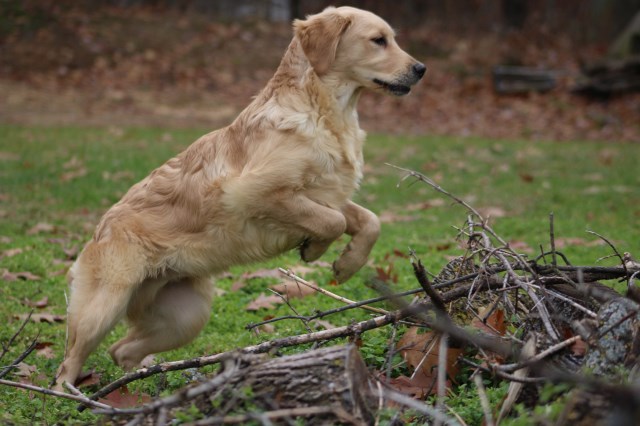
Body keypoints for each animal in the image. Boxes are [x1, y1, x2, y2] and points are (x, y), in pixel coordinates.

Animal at [55, 5, 424, 390]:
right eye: (378, 40)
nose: (421, 69)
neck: (326, 110)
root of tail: (101, 226)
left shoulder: (327, 194)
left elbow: (369, 221)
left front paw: (347, 263)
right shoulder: (251, 192)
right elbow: (333, 221)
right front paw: (315, 249)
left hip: (186, 316)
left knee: (121, 350)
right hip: (103, 306)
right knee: (68, 363)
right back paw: (72, 394)